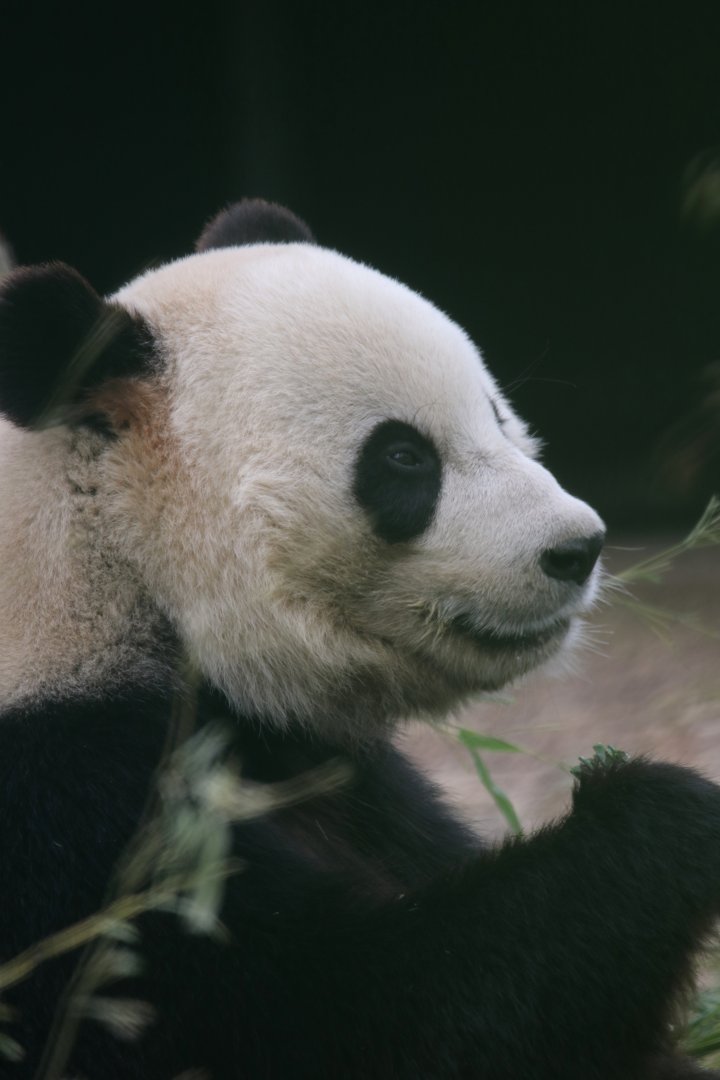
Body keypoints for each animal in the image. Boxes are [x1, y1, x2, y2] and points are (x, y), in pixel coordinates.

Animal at [0, 199, 719, 1080]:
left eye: (497, 416)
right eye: (404, 456)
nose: (578, 548)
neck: (108, 565)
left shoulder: (342, 775)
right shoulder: (63, 816)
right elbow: (343, 1014)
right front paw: (661, 813)